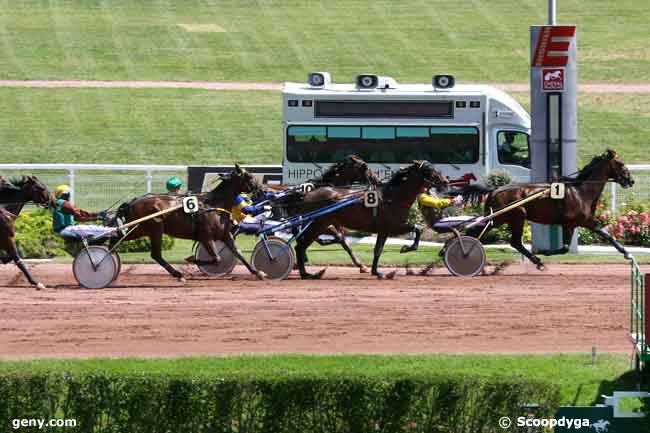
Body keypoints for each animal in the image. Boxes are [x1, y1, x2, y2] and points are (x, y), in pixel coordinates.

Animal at [114, 165, 264, 280]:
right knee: (155, 254)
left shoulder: (225, 234)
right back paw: (178, 274)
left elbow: (238, 252)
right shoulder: (206, 236)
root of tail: (132, 202)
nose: (262, 190)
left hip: (140, 229)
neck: (214, 205)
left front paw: (257, 272)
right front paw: (192, 259)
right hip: (155, 229)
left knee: (117, 240)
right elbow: (216, 259)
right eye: (250, 177)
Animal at [292, 160, 448, 278]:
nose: (446, 181)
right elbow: (417, 229)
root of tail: (307, 195)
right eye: (429, 170)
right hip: (318, 224)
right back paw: (306, 273)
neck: (393, 198)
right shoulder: (392, 227)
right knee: (300, 245)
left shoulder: (384, 230)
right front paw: (405, 248)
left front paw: (376, 272)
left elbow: (378, 249)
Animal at [464, 150, 636, 268]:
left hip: (502, 219)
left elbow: (607, 236)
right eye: (621, 164)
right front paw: (543, 252)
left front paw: (626, 253)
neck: (581, 191)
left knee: (492, 237)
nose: (631, 180)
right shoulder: (569, 223)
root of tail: (494, 190)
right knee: (509, 240)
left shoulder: (585, 222)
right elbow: (565, 248)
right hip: (512, 217)